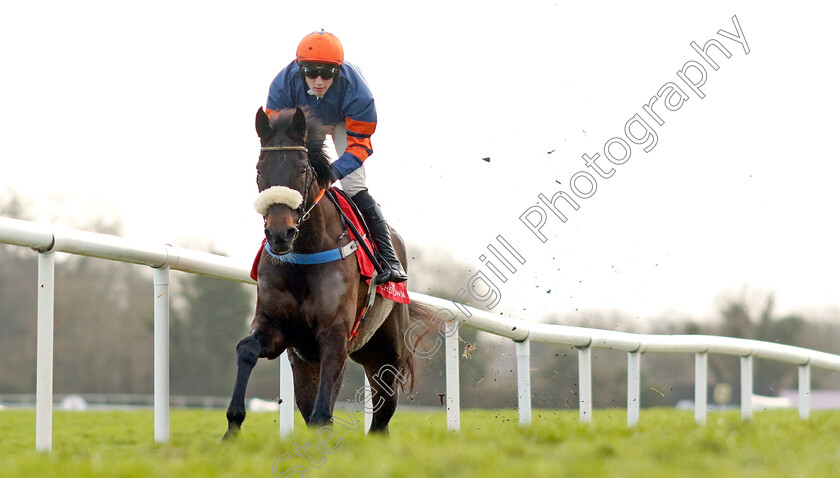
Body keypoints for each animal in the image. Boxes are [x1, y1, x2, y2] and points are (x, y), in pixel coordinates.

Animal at [223, 106, 430, 438]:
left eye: (301, 169)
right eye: (259, 170)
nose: (280, 234)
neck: (304, 256)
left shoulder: (334, 335)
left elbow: (324, 412)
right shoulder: (279, 328)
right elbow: (247, 348)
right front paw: (233, 424)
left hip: (386, 354)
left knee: (382, 415)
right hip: (309, 361)